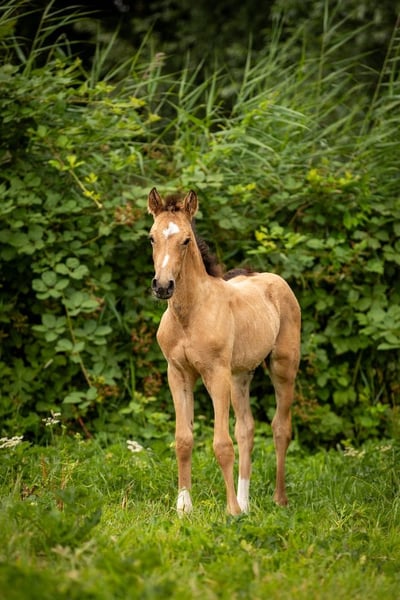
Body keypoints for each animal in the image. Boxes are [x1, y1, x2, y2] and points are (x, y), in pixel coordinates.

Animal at [147, 188, 301, 515]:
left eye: (186, 240)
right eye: (152, 237)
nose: (163, 286)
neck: (190, 315)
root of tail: (273, 279)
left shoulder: (215, 374)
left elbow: (221, 444)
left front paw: (230, 511)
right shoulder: (177, 374)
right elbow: (184, 439)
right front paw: (184, 508)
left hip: (283, 367)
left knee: (280, 427)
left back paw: (278, 500)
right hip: (240, 375)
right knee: (247, 429)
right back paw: (245, 502)